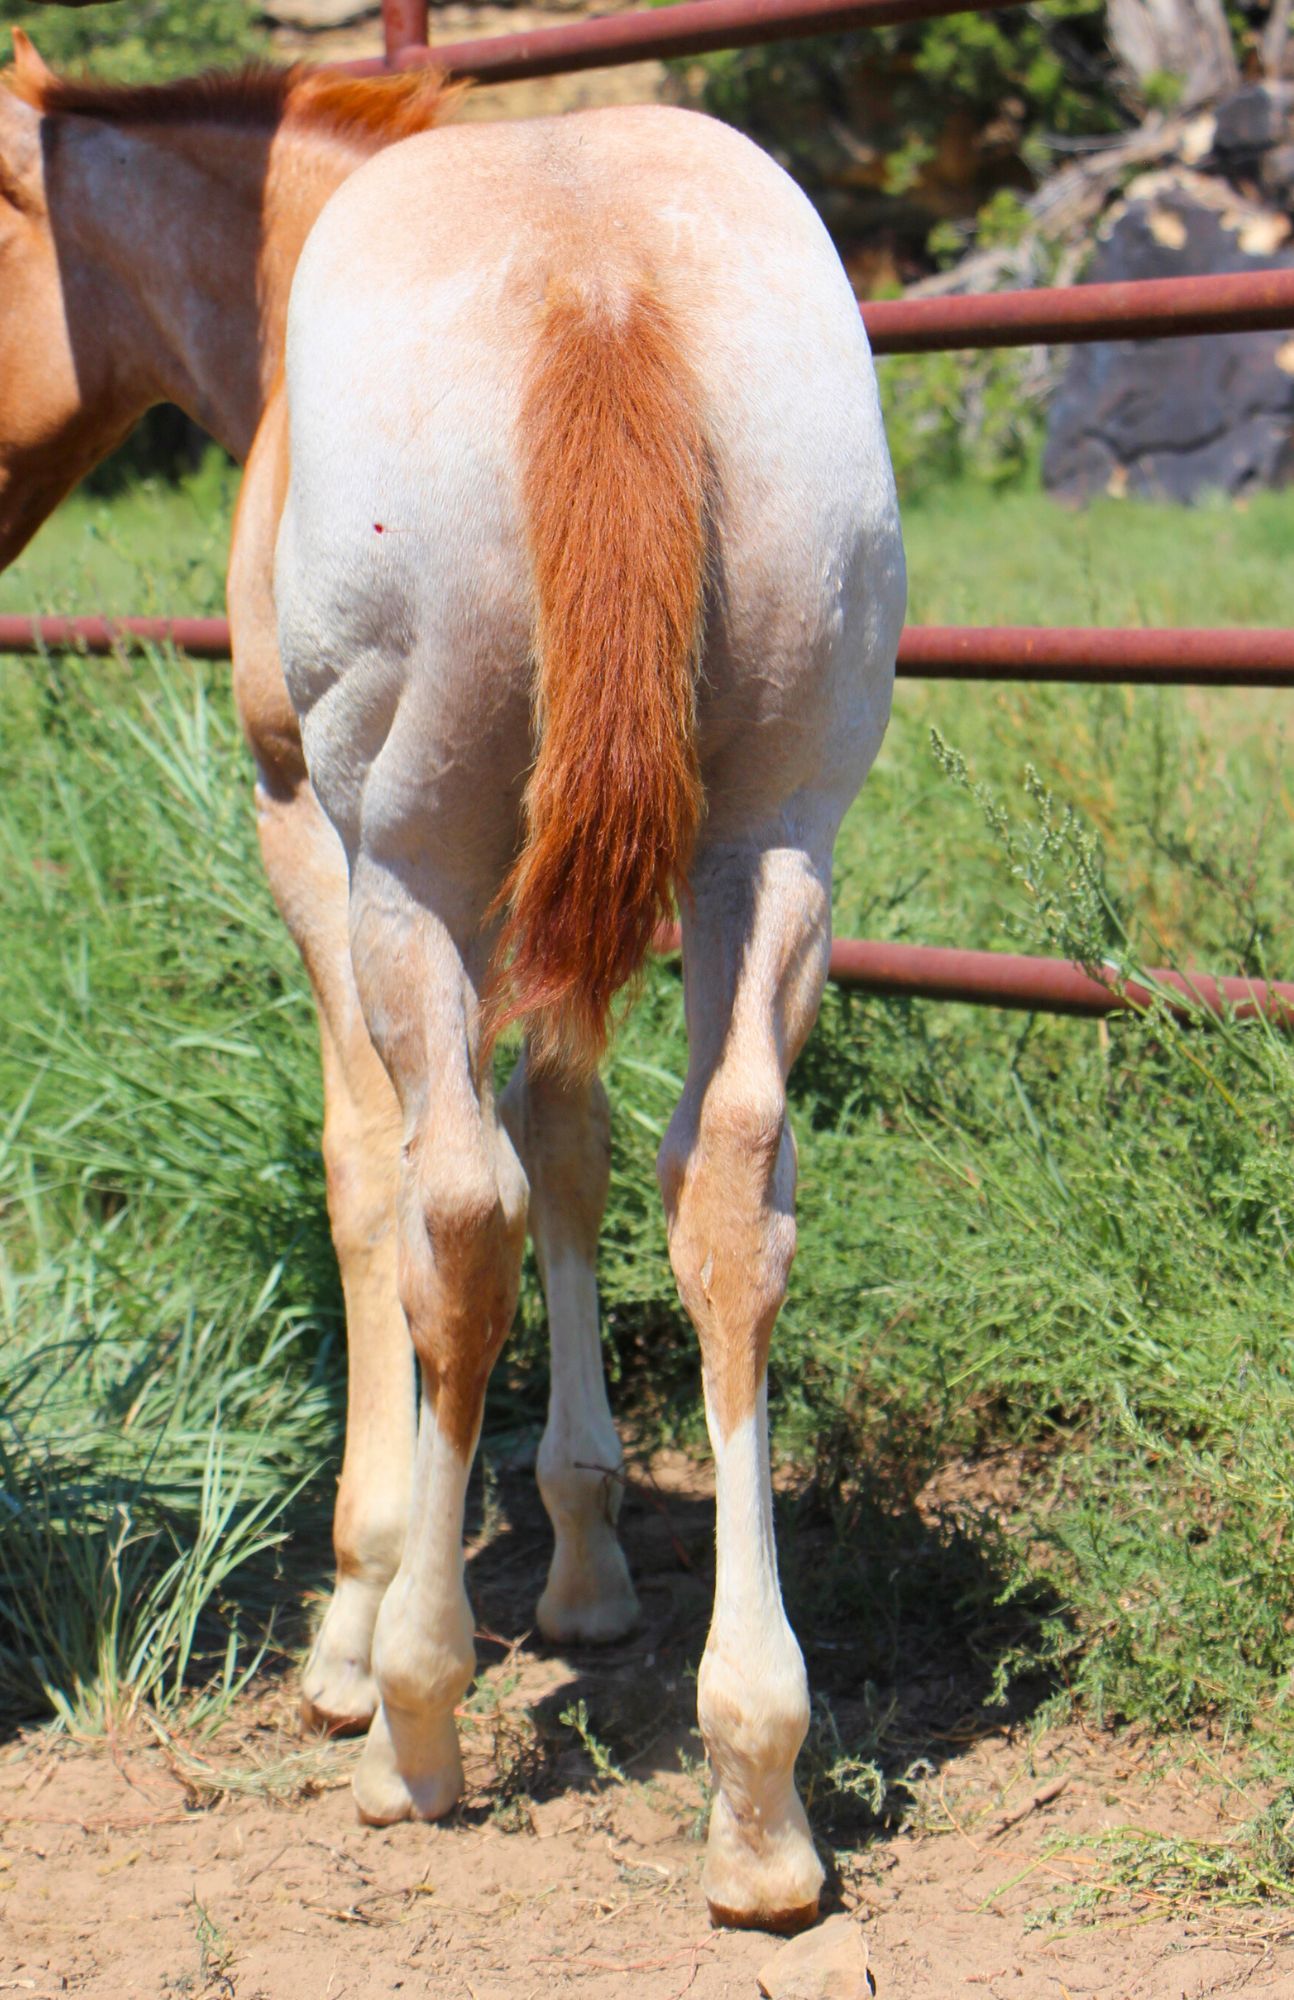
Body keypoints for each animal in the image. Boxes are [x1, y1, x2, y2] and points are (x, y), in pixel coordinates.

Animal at [0, 35, 905, 1929]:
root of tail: (594, 279)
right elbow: (568, 1137)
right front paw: (580, 1561)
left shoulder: (309, 829)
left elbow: (375, 1177)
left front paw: (356, 1621)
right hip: (767, 843)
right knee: (723, 1191)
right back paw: (756, 1794)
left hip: (411, 859)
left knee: (454, 1209)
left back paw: (415, 1719)